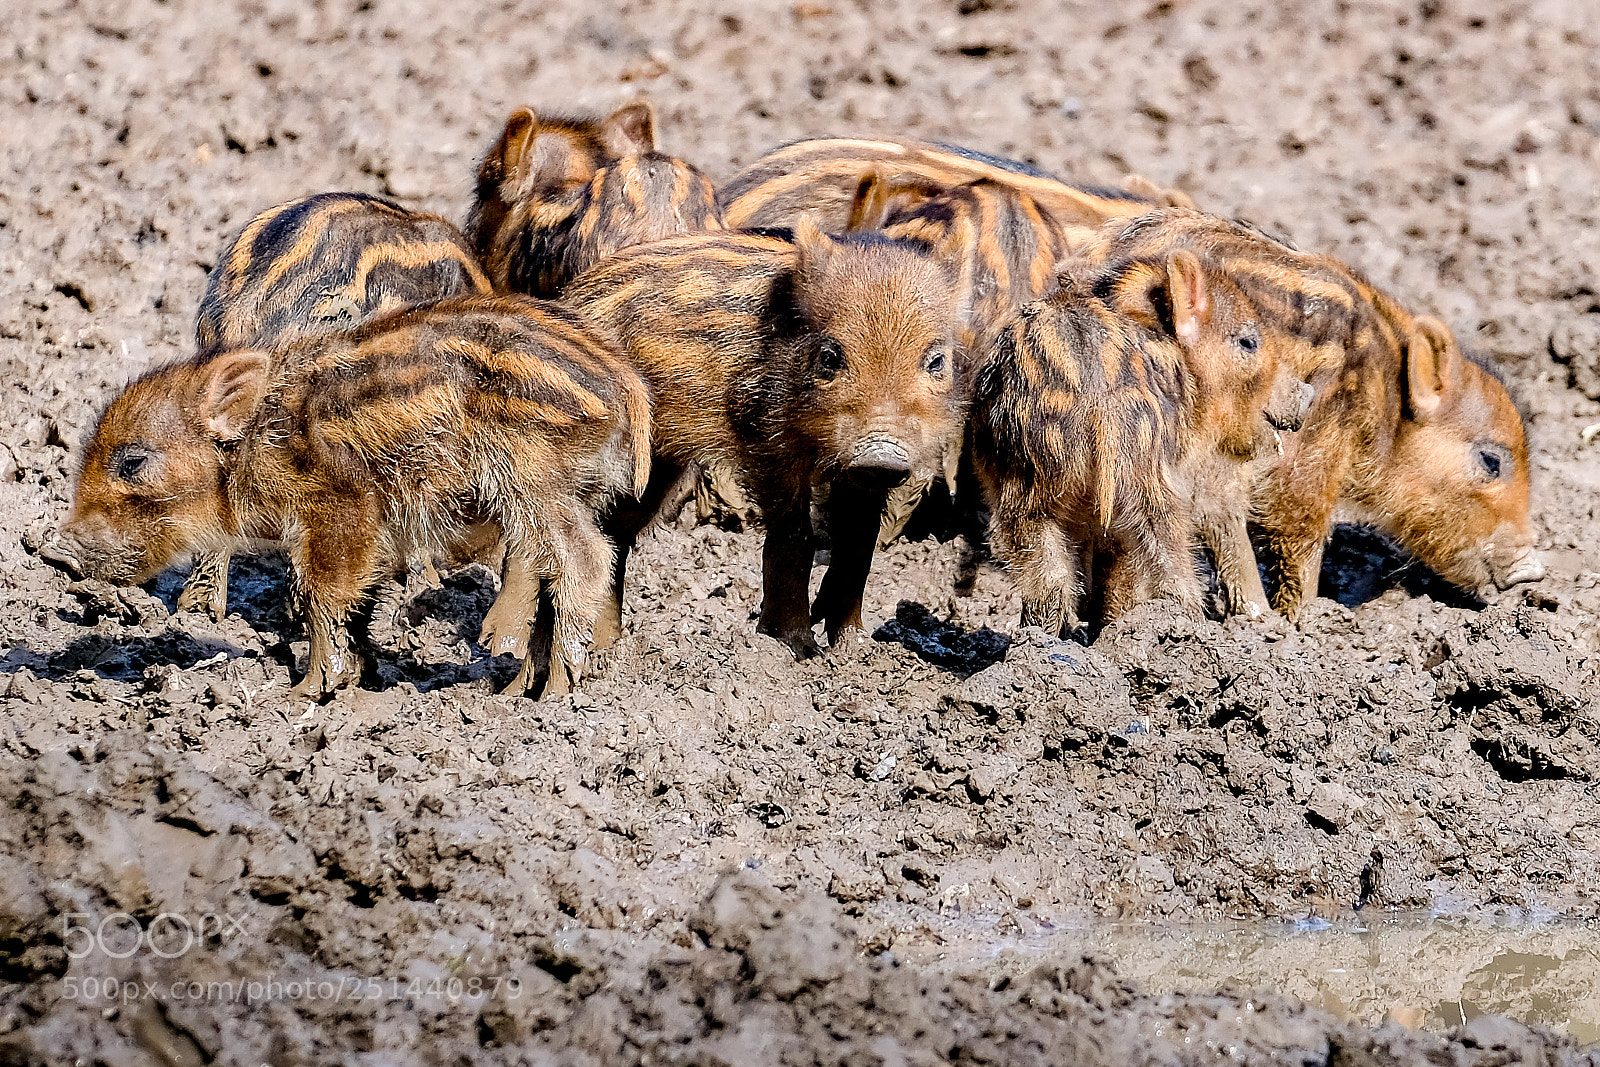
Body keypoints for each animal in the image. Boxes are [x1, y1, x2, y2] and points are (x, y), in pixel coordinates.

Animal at [56, 294, 650, 699]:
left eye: (133, 462)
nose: (55, 550)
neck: (253, 444)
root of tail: (626, 390)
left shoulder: (342, 512)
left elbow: (320, 596)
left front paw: (303, 694)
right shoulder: (374, 533)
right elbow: (356, 601)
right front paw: (359, 680)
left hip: (533, 482)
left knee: (585, 559)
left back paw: (553, 694)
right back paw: (514, 691)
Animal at [565, 218, 963, 657]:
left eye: (936, 361)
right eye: (830, 356)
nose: (882, 449)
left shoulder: (863, 473)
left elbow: (860, 540)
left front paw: (853, 646)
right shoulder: (763, 438)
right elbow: (795, 536)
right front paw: (799, 649)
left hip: (658, 465)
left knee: (616, 531)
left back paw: (610, 645)